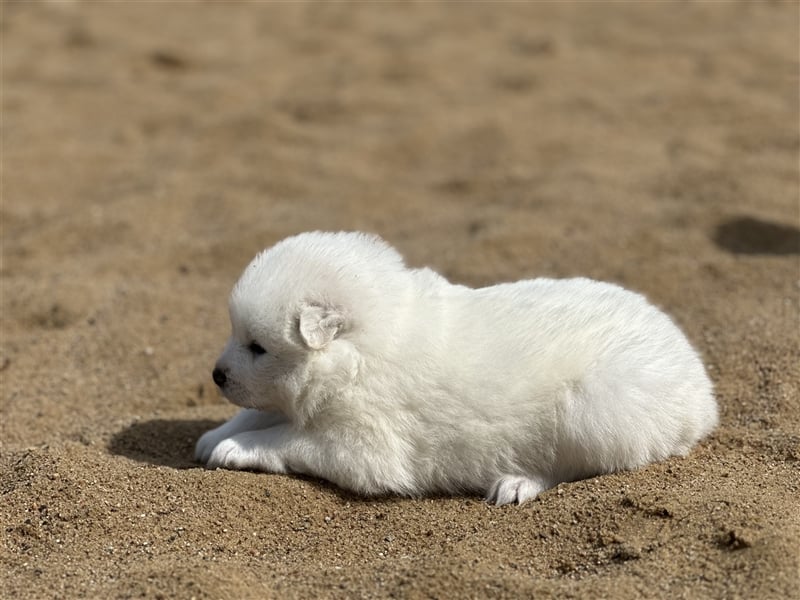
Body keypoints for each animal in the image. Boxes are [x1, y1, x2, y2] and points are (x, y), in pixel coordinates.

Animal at [195, 232, 720, 504]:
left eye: (258, 346)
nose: (217, 375)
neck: (362, 349)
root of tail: (703, 394)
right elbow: (262, 410)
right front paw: (214, 433)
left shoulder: (364, 445)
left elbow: (287, 437)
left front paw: (235, 447)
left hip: (593, 412)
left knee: (573, 467)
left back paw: (516, 483)